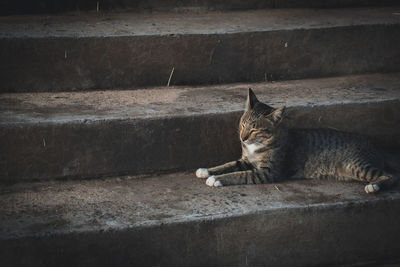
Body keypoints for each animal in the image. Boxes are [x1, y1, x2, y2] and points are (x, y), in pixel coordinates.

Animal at [196, 89, 396, 194]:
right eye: (243, 124)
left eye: (254, 130)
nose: (242, 137)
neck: (257, 145)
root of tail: (376, 146)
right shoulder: (245, 160)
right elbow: (228, 165)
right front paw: (206, 170)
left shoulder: (267, 172)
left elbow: (239, 174)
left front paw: (216, 179)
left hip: (356, 164)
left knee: (390, 176)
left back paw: (373, 186)